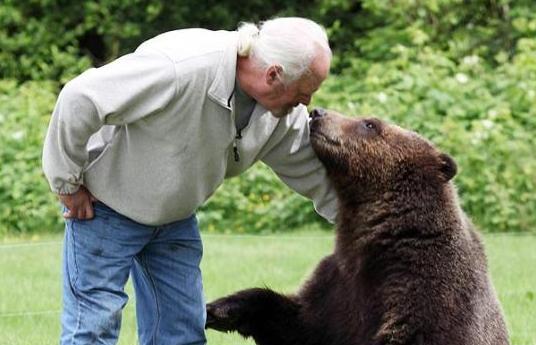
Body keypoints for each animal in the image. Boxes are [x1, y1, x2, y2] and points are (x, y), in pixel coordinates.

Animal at [205, 109, 510, 344]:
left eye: (370, 124)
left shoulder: (429, 285)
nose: (317, 113)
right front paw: (219, 309)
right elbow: (298, 322)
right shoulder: (339, 285)